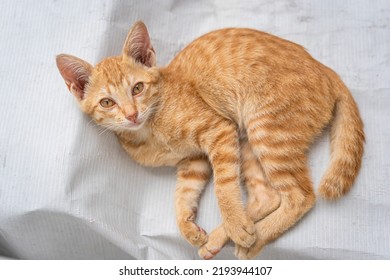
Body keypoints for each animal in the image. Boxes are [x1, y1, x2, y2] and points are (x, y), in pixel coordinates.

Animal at [56, 20, 364, 260]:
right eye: (107, 102)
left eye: (138, 88)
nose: (132, 115)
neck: (151, 131)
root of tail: (327, 71)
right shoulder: (194, 160)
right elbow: (182, 195)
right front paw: (188, 228)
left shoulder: (219, 131)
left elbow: (224, 187)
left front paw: (234, 221)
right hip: (250, 141)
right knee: (267, 197)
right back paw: (223, 237)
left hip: (264, 128)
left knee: (301, 197)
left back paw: (252, 236)